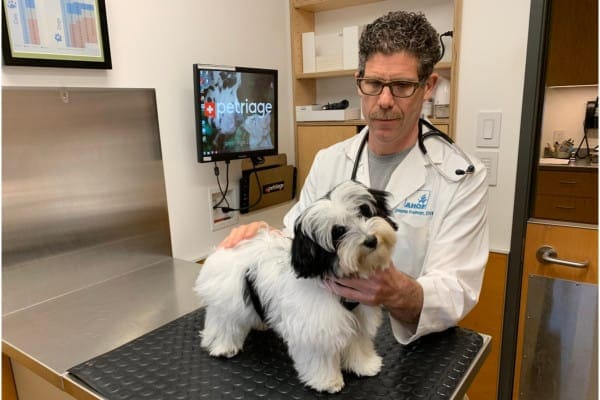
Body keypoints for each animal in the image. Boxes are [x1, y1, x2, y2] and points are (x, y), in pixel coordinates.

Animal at [195, 181, 396, 394]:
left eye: (364, 212)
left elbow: (358, 342)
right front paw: (327, 381)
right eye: (338, 232)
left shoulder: (359, 317)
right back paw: (221, 345)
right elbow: (320, 355)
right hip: (229, 299)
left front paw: (364, 365)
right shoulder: (316, 328)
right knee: (224, 321)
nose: (371, 240)